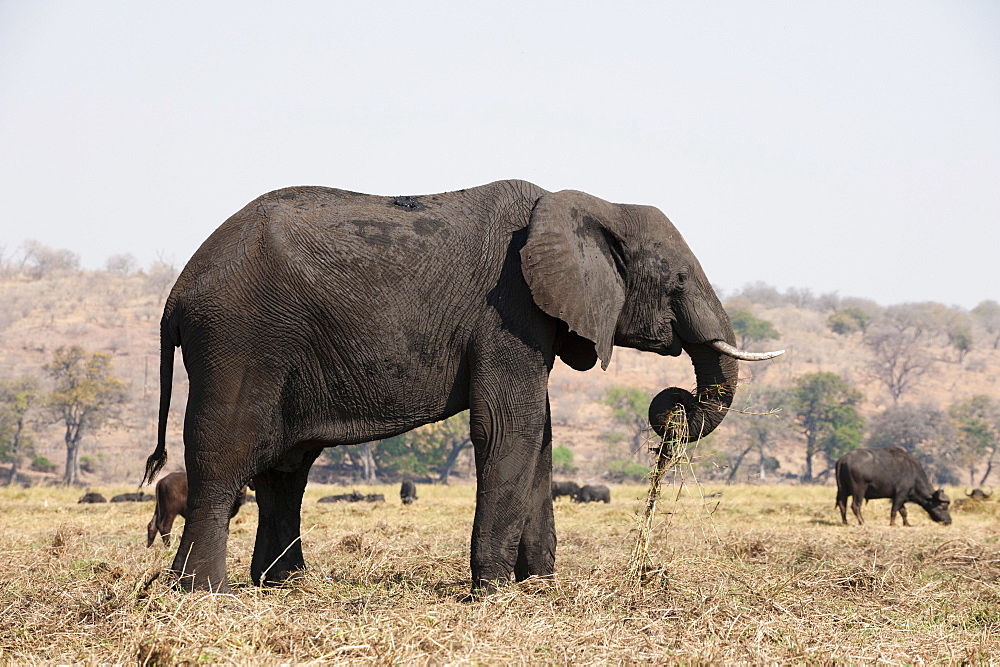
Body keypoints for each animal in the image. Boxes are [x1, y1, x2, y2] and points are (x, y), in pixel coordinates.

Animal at [143, 180, 780, 592]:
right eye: (676, 282)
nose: (671, 406)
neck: (590, 204)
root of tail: (176, 295)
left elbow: (539, 435)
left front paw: (539, 585)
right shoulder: (509, 311)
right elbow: (507, 427)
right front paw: (493, 589)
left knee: (285, 470)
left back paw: (281, 587)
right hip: (237, 340)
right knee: (226, 458)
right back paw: (204, 593)